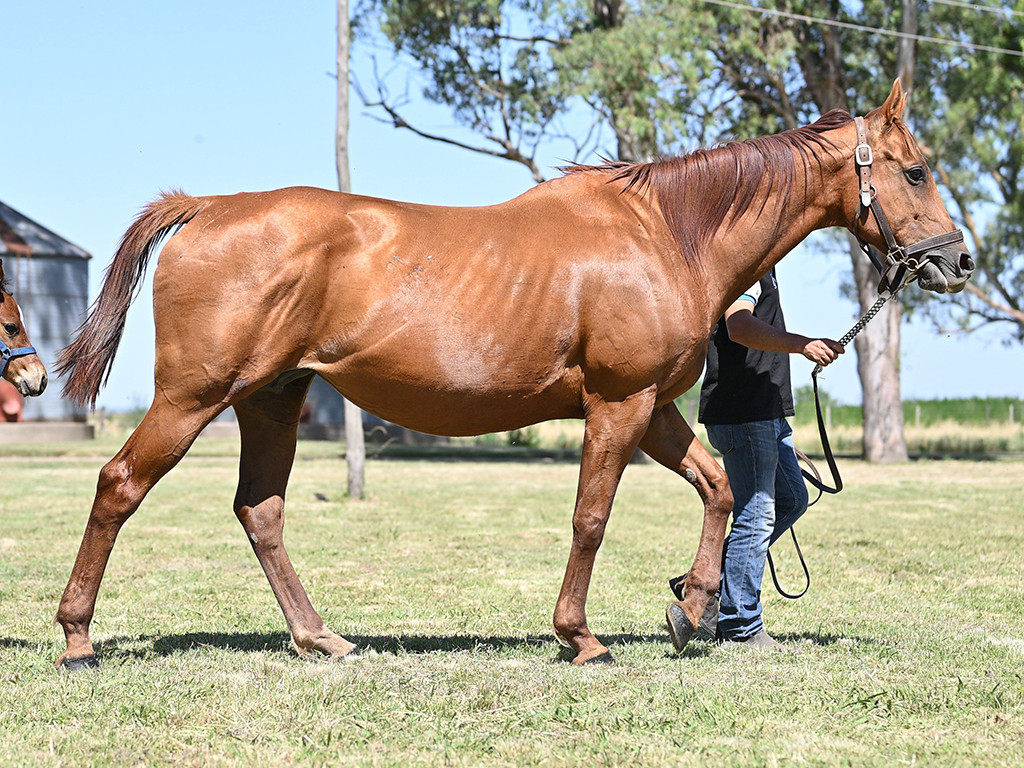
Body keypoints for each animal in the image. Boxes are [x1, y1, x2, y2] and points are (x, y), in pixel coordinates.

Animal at [53, 80, 972, 670]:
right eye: (917, 170)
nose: (958, 260)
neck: (665, 233)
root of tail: (207, 207)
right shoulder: (618, 406)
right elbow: (591, 519)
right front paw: (582, 638)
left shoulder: (654, 409)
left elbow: (717, 488)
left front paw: (690, 608)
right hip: (193, 398)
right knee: (119, 486)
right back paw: (78, 641)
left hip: (272, 400)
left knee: (261, 511)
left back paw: (321, 640)